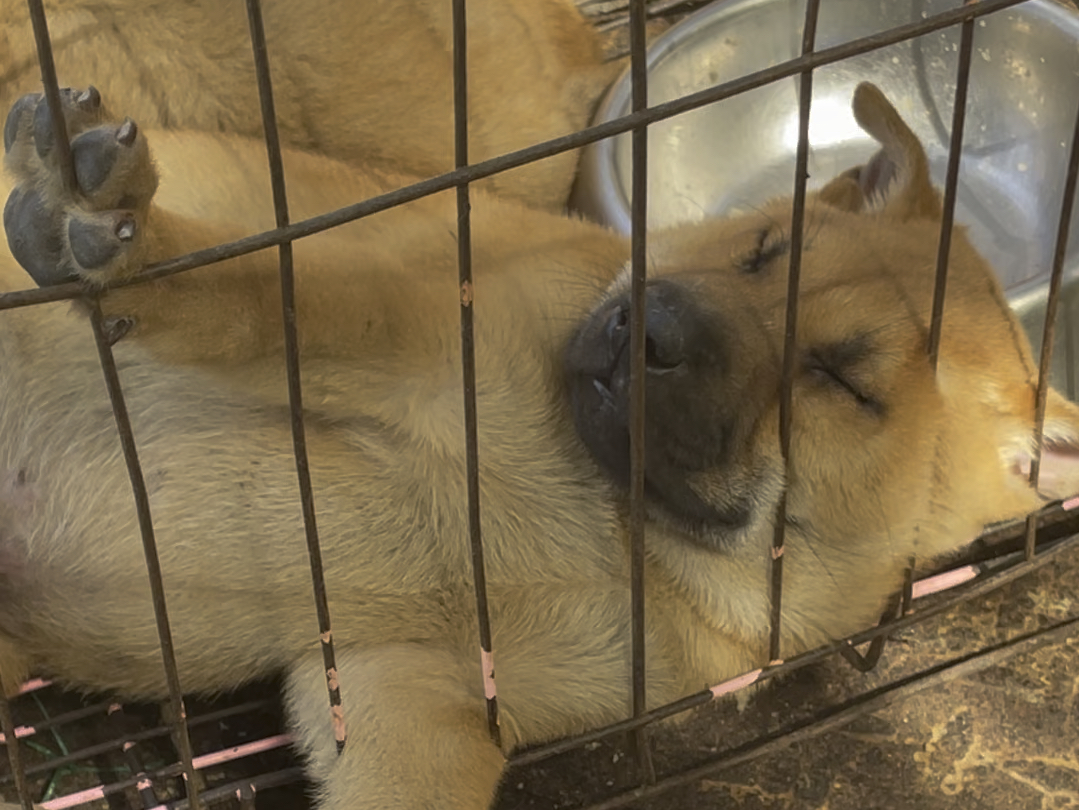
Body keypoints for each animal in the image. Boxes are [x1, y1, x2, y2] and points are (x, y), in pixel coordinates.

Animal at [2, 3, 1079, 806]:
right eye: (760, 251)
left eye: (845, 383)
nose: (647, 328)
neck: (622, 529)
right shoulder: (402, 320)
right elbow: (249, 289)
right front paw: (129, 245)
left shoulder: (411, 690)